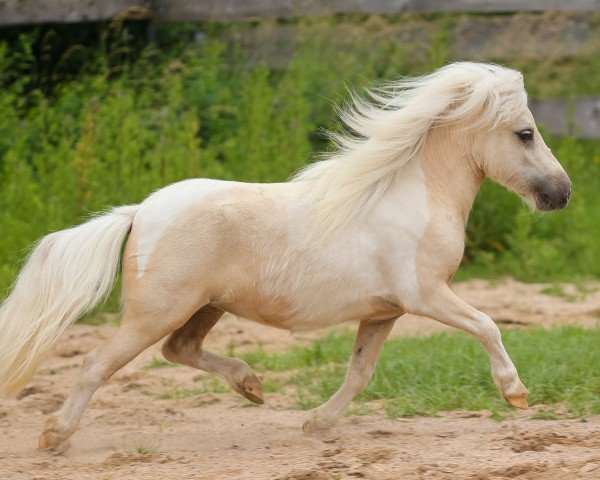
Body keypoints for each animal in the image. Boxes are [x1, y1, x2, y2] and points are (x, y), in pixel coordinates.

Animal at [1, 62, 572, 448]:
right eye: (525, 133)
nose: (561, 194)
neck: (411, 195)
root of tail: (140, 212)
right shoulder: (427, 295)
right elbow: (487, 325)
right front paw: (516, 394)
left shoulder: (384, 312)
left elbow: (360, 373)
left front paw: (316, 424)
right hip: (157, 312)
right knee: (98, 363)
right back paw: (55, 436)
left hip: (203, 308)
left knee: (179, 350)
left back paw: (251, 385)